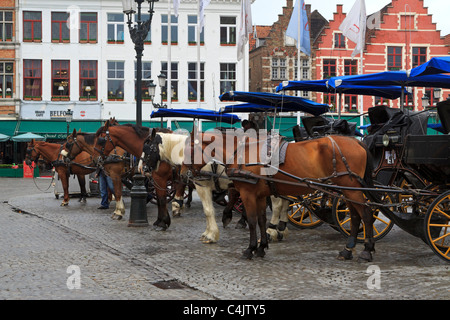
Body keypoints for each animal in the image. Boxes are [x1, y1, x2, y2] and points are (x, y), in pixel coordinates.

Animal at [182, 129, 376, 262]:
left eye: (189, 149)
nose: (184, 174)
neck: (243, 152)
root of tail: (356, 142)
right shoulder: (260, 195)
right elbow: (261, 220)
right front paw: (261, 247)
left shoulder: (248, 194)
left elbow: (252, 221)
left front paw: (250, 249)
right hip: (347, 190)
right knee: (355, 216)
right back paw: (348, 249)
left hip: (351, 189)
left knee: (366, 214)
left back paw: (367, 249)